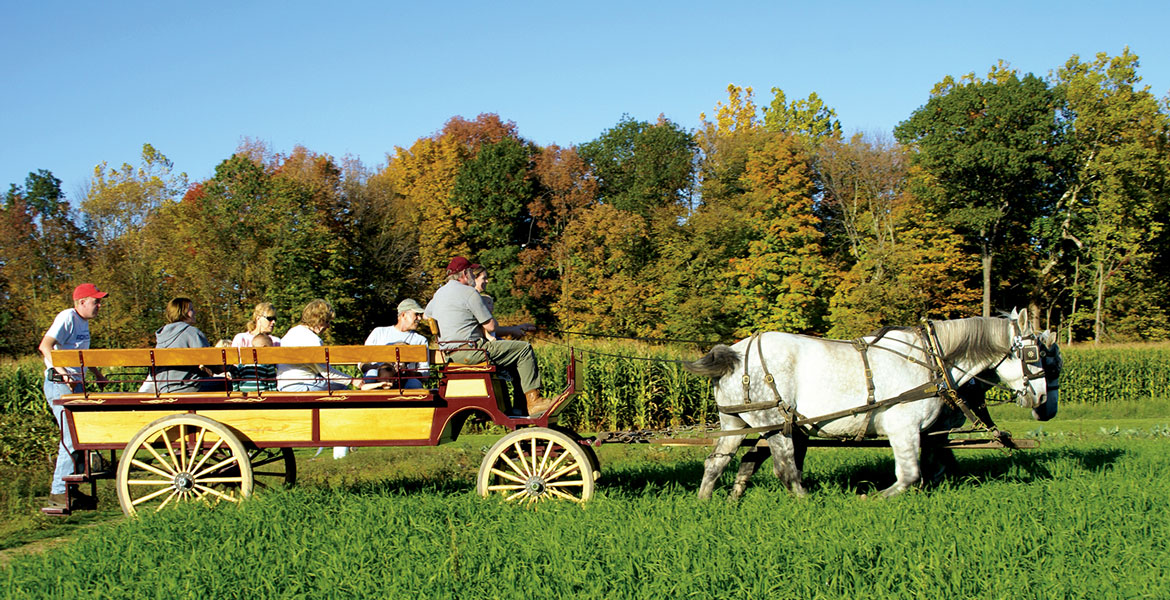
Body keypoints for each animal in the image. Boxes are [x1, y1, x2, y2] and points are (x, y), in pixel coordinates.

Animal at [683, 306, 1057, 498]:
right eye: (1034, 354)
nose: (1042, 402)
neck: (933, 359)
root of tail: (734, 354)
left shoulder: (928, 432)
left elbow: (932, 465)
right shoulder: (905, 427)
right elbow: (909, 475)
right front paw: (873, 499)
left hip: (737, 420)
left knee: (717, 462)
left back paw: (708, 502)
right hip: (776, 424)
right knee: (786, 469)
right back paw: (806, 503)